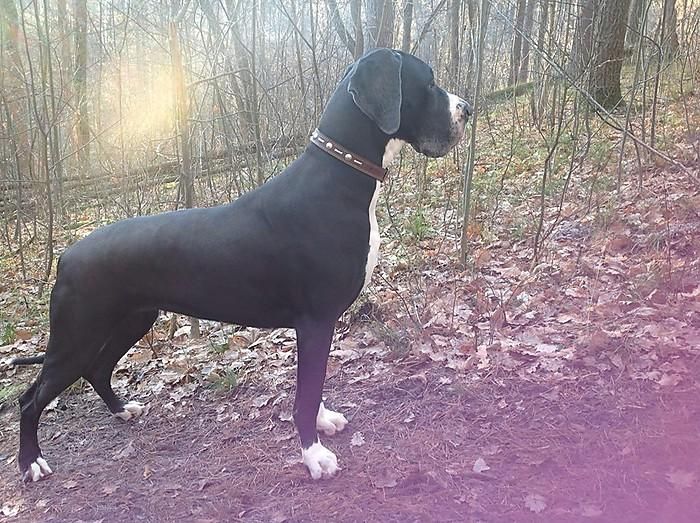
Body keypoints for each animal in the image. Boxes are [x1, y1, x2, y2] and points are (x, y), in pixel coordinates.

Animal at [13, 48, 470, 482]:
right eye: (429, 82)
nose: (466, 108)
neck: (339, 181)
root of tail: (65, 256)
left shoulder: (316, 326)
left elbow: (314, 383)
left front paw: (324, 420)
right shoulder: (316, 320)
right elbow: (304, 395)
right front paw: (314, 455)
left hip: (132, 319)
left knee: (97, 367)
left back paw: (122, 409)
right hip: (77, 335)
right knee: (30, 397)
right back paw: (31, 462)